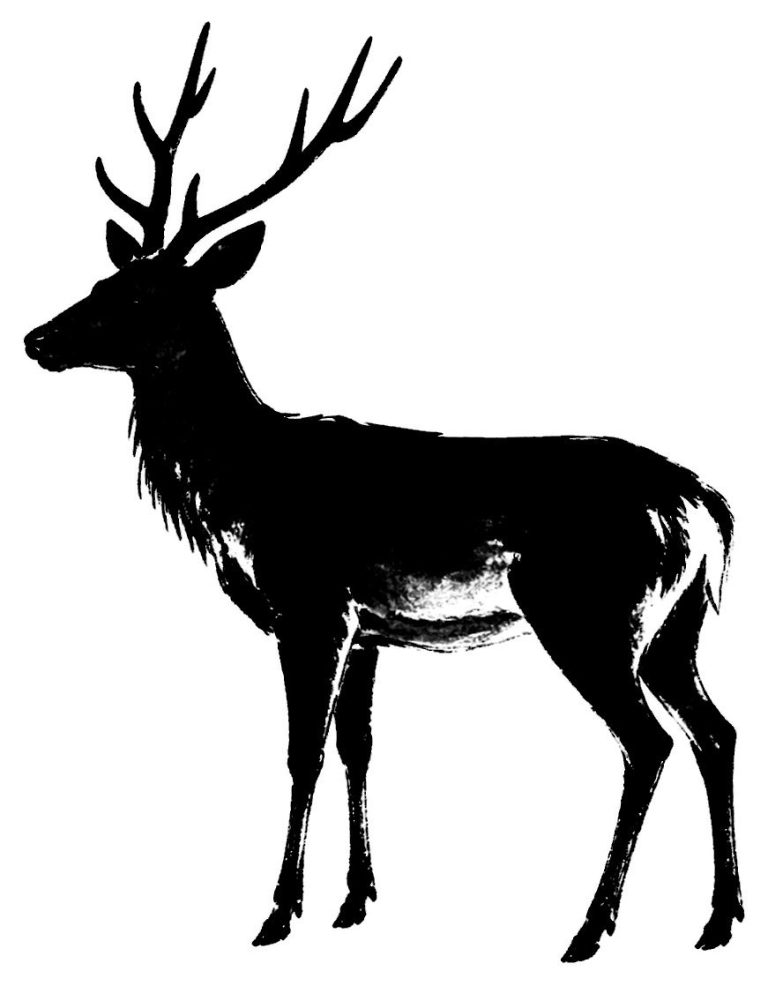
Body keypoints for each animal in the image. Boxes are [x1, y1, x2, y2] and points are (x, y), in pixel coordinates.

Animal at [24, 23, 743, 962]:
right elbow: (360, 747)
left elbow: (304, 751)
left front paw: (277, 913)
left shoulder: (312, 606)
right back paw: (719, 919)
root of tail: (709, 509)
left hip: (590, 613)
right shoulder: (368, 628)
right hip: (675, 626)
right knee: (717, 731)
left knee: (648, 742)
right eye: (103, 281)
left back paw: (589, 928)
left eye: (145, 298)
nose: (37, 338)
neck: (242, 488)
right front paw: (355, 901)